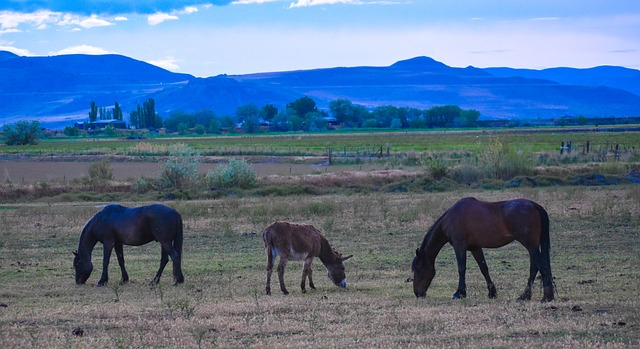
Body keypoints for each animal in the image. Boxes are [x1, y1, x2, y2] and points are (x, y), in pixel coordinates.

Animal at [412, 197, 552, 300]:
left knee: (541, 266)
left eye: (418, 269)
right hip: (532, 246)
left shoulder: (459, 246)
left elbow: (461, 269)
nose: (418, 293)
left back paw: (546, 297)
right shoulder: (475, 248)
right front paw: (492, 293)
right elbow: (484, 269)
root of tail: (535, 206)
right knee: (534, 268)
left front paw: (459, 293)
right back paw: (525, 296)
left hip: (530, 245)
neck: (451, 217)